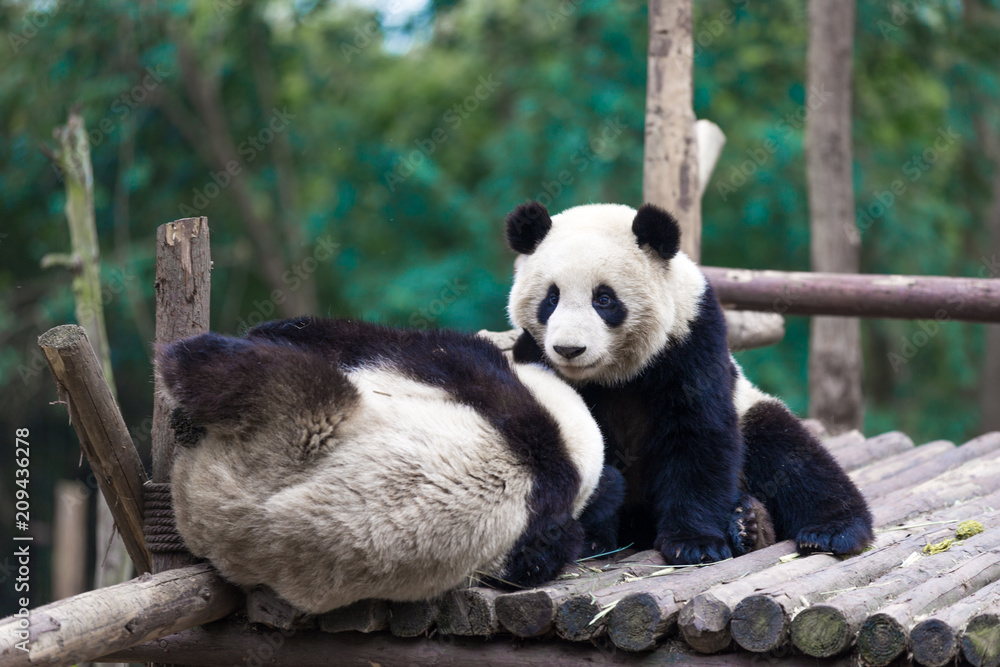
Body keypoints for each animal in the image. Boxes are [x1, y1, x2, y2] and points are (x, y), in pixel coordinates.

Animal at [155, 316, 622, 613]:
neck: (564, 447)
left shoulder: (460, 368)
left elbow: (369, 341)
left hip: (297, 425)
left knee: (244, 370)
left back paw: (184, 389)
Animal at [505, 201, 874, 565]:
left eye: (604, 299)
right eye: (551, 299)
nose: (569, 349)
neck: (613, 374)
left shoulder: (691, 338)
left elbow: (698, 433)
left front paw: (693, 543)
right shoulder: (535, 360)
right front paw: (590, 539)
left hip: (751, 409)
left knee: (792, 459)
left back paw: (814, 529)